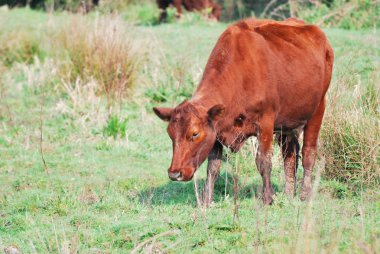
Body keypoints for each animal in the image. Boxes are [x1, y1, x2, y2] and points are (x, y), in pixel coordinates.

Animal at [153, 17, 334, 206]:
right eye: (170, 134)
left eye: (194, 134)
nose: (175, 173)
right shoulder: (216, 130)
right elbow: (213, 167)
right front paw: (206, 200)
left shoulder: (265, 123)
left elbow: (263, 161)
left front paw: (267, 198)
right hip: (288, 123)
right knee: (290, 155)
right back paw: (289, 194)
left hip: (318, 109)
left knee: (308, 153)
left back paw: (304, 195)